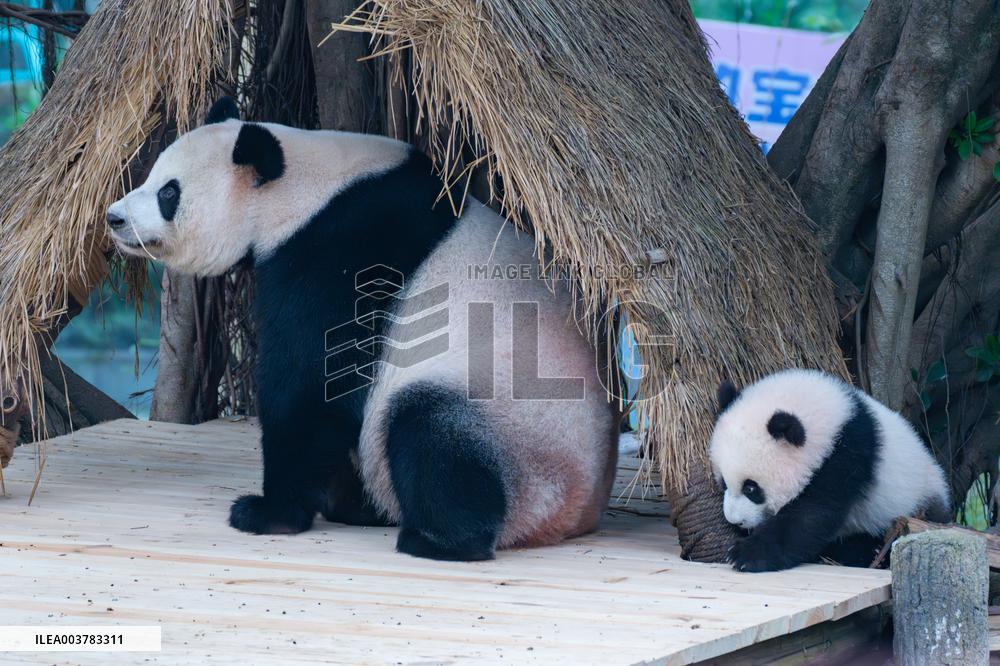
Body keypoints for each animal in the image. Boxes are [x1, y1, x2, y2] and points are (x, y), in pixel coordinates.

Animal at [105, 97, 620, 561]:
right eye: (151, 177)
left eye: (168, 193)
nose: (115, 218)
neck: (303, 190)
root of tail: (578, 516)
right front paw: (336, 503)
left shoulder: (338, 257)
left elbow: (309, 384)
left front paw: (268, 513)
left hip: (523, 439)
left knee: (431, 431)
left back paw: (436, 540)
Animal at [709, 368, 950, 572]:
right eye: (723, 483)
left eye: (751, 488)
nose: (735, 521)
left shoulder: (847, 457)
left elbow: (812, 516)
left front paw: (746, 554)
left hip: (912, 505)